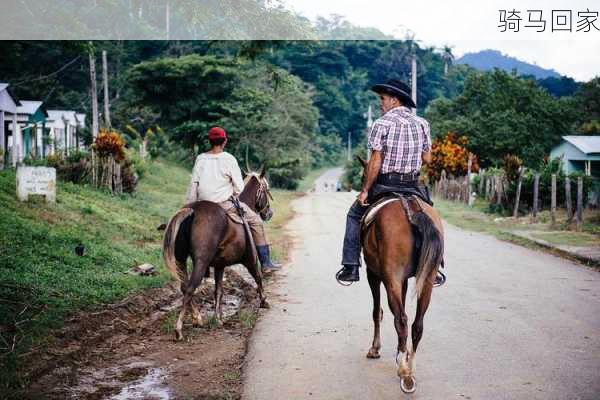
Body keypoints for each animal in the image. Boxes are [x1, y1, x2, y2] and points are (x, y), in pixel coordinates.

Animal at [161, 167, 270, 340]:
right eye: (266, 189)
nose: (269, 213)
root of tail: (192, 210)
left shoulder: (220, 266)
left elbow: (218, 291)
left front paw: (218, 318)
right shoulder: (250, 260)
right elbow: (258, 277)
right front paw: (264, 300)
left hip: (180, 260)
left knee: (184, 287)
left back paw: (197, 318)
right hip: (201, 262)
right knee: (190, 288)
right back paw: (179, 328)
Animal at [356, 157, 446, 394]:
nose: (362, 195)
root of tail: (412, 210)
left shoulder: (373, 274)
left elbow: (376, 312)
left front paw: (375, 349)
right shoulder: (403, 279)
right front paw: (400, 352)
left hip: (391, 278)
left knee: (401, 319)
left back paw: (404, 371)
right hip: (427, 278)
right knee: (417, 323)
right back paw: (410, 367)